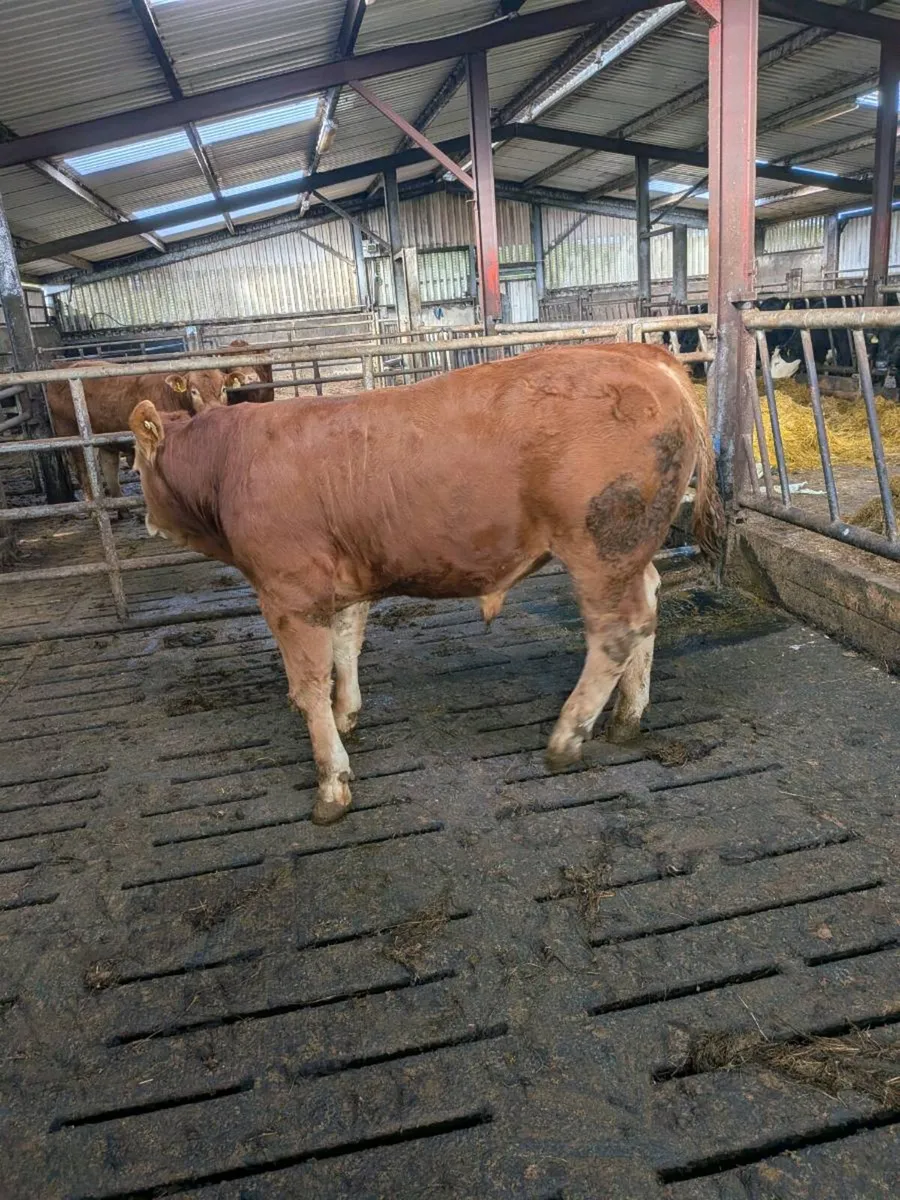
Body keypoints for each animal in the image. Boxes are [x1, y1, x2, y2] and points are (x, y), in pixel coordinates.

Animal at [46, 365, 230, 501]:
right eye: (193, 391)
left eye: (223, 389)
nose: (214, 410)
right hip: (72, 436)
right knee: (84, 472)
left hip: (106, 440)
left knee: (109, 467)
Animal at [130, 343, 724, 826]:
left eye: (136, 463)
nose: (147, 520)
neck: (230, 461)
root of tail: (642, 355)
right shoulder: (341, 581)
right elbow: (346, 645)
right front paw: (348, 713)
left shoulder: (288, 594)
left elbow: (308, 687)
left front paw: (331, 783)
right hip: (629, 551)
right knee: (648, 605)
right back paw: (627, 717)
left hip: (600, 546)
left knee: (617, 631)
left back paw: (567, 737)